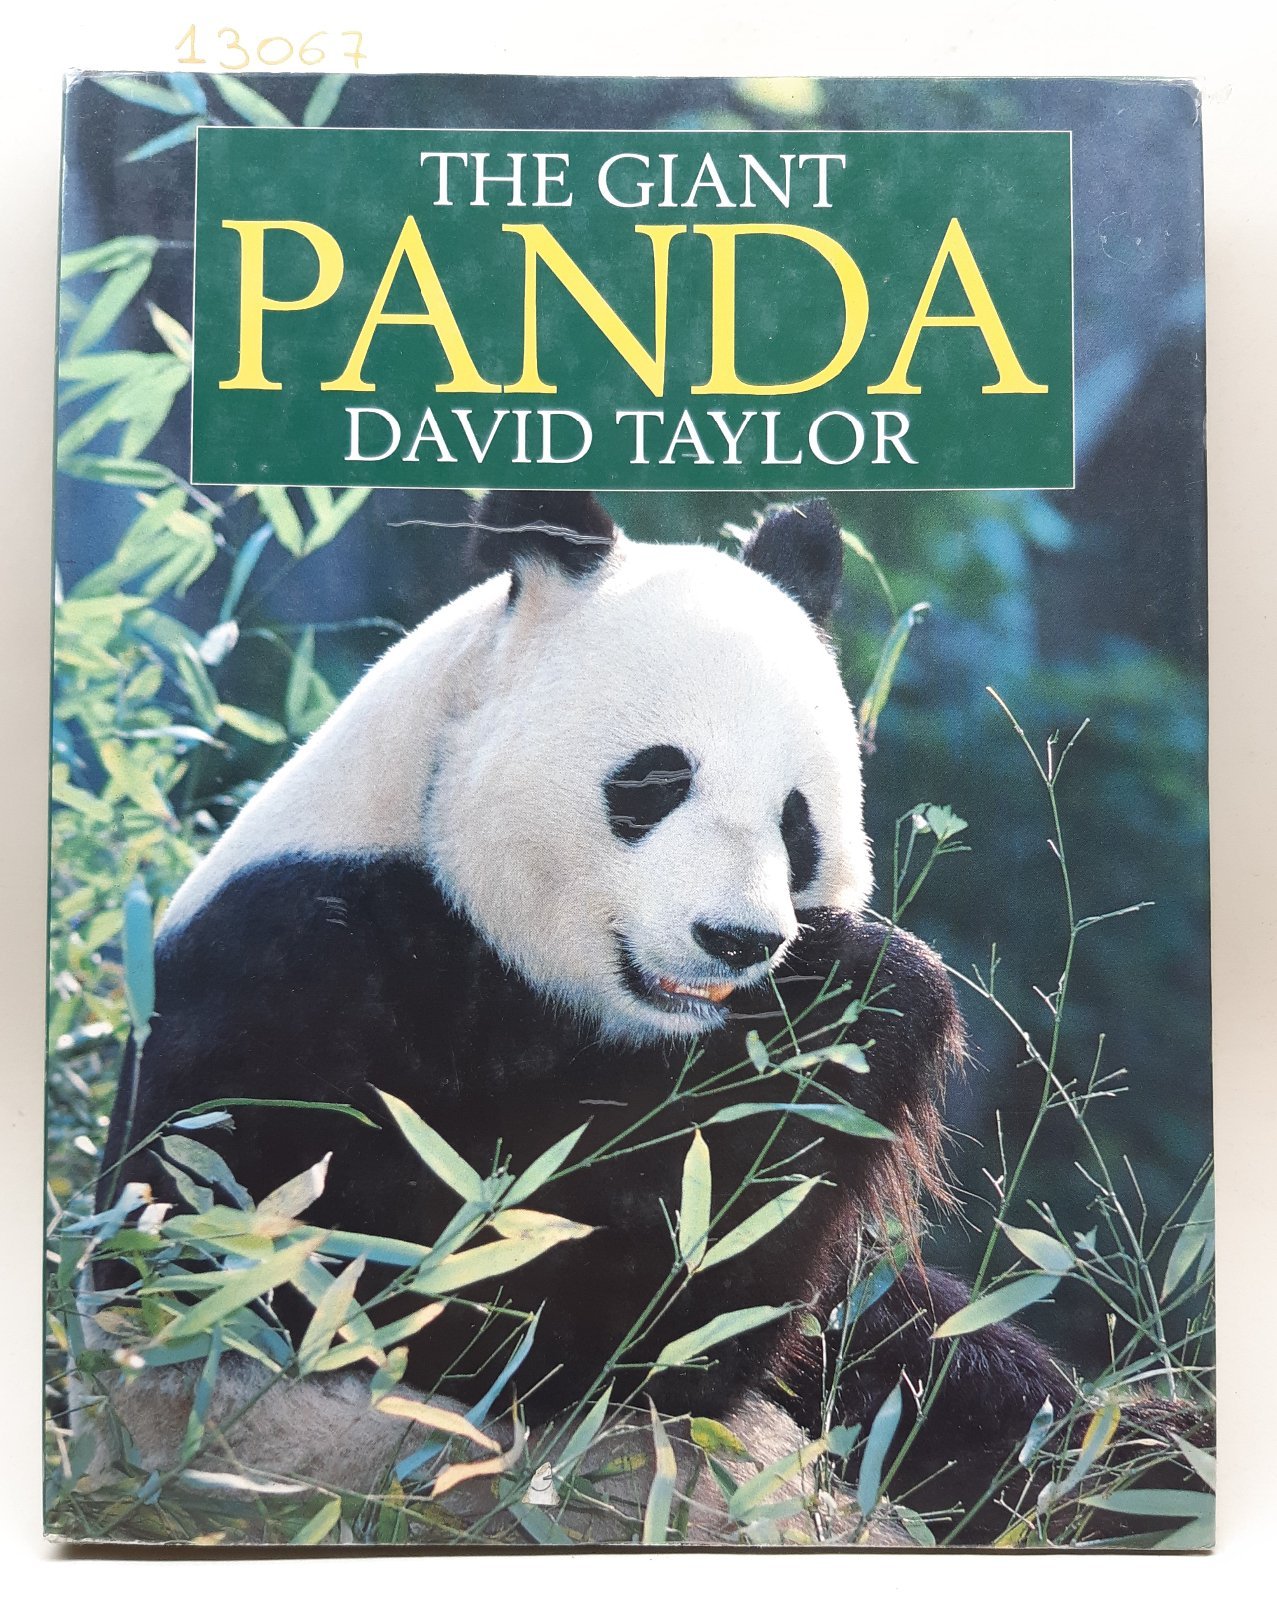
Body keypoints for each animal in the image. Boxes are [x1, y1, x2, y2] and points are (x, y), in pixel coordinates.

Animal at [93, 489, 1080, 1540]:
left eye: (796, 821)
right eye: (654, 781)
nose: (737, 939)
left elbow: (915, 1349)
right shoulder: (295, 981)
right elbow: (466, 1304)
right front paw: (863, 987)